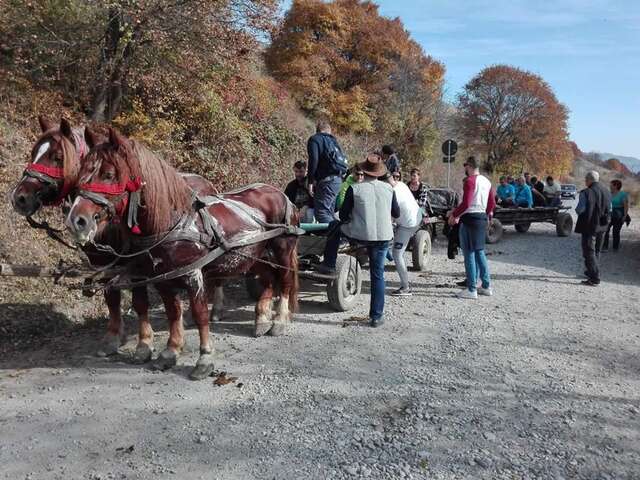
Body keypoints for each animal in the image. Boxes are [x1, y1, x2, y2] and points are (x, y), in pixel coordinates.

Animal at [9, 118, 225, 362]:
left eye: (57, 156)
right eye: (34, 152)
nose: (20, 198)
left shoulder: (136, 266)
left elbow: (140, 302)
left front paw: (144, 343)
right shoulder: (103, 265)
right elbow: (111, 299)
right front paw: (113, 338)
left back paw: (215, 309)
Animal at [65, 126, 300, 378]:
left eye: (108, 174)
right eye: (82, 173)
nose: (77, 221)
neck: (172, 222)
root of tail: (278, 193)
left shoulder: (193, 275)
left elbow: (199, 314)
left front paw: (205, 359)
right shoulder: (162, 278)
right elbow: (172, 311)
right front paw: (170, 351)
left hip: (282, 250)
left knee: (285, 280)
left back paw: (279, 321)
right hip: (254, 254)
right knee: (267, 278)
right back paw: (262, 319)